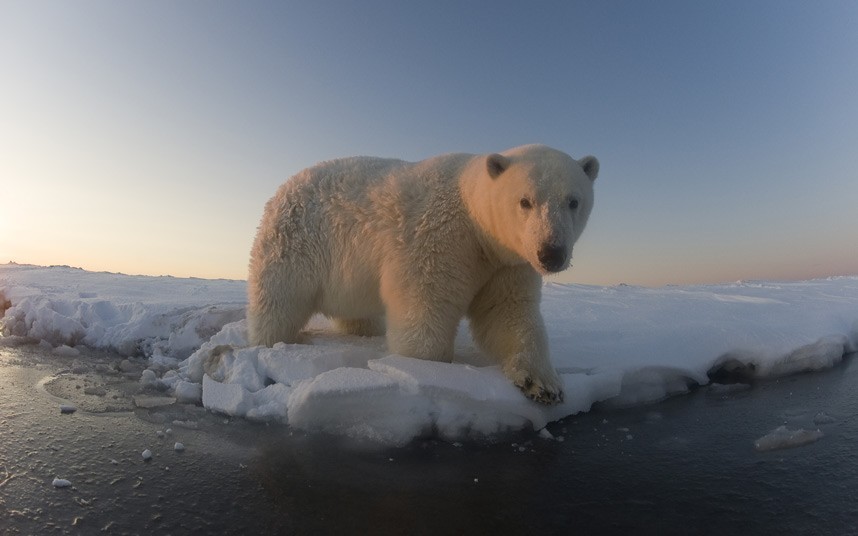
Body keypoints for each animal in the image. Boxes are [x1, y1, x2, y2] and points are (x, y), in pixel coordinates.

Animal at [246, 144, 596, 404]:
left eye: (573, 201)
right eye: (525, 201)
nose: (551, 253)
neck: (473, 219)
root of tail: (283, 189)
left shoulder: (507, 262)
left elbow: (508, 313)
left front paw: (542, 384)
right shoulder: (437, 238)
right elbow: (427, 304)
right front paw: (428, 370)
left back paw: (366, 330)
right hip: (297, 241)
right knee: (279, 299)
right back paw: (273, 341)